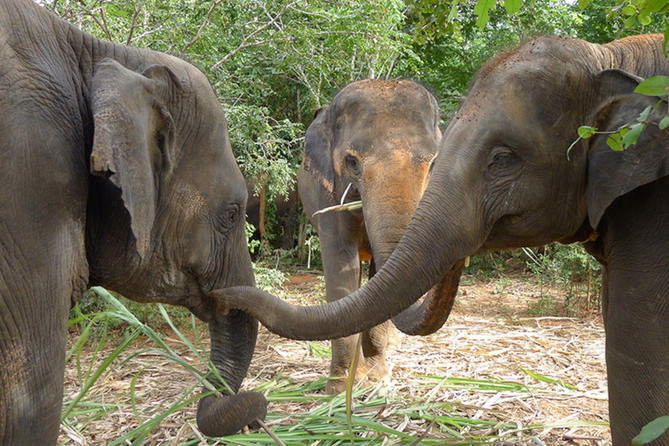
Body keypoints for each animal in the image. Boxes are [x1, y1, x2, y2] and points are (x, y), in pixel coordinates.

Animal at [296, 80, 446, 394]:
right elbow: (342, 265)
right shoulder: (326, 191)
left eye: (434, 163)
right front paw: (342, 387)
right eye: (352, 161)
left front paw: (377, 379)